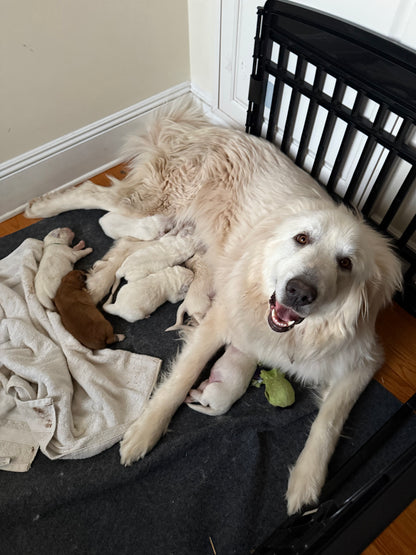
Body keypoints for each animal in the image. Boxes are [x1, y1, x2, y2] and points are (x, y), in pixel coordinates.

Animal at [24, 97, 402, 516]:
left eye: (346, 263)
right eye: (302, 239)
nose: (299, 292)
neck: (293, 334)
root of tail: (207, 128)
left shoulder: (362, 361)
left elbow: (329, 424)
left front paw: (306, 484)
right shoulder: (220, 321)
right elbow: (180, 379)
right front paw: (145, 432)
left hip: (164, 219)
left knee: (124, 247)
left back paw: (94, 286)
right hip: (157, 200)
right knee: (96, 193)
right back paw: (42, 207)